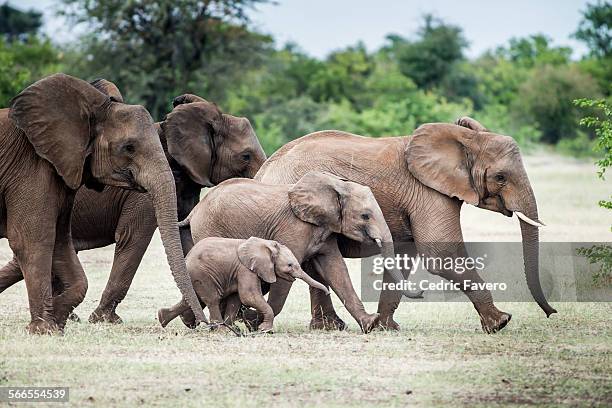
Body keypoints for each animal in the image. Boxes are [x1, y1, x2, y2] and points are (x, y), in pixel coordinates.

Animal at [0, 90, 264, 326]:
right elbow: (134, 238)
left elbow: (186, 241)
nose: (209, 325)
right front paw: (104, 319)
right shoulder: (142, 194)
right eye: (246, 156)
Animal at [158, 236, 330, 332]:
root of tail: (186, 258)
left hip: (195, 276)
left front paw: (234, 328)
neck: (266, 244)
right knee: (212, 299)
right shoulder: (246, 269)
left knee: (194, 299)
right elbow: (248, 296)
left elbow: (236, 299)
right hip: (201, 274)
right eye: (290, 265)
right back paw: (220, 329)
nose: (328, 292)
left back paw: (162, 317)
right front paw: (265, 330)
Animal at [253, 116, 556, 334]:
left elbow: (405, 255)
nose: (551, 313)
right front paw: (500, 323)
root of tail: (264, 171)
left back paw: (328, 328)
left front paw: (386, 328)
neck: (464, 140)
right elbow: (440, 254)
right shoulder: (428, 192)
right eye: (501, 177)